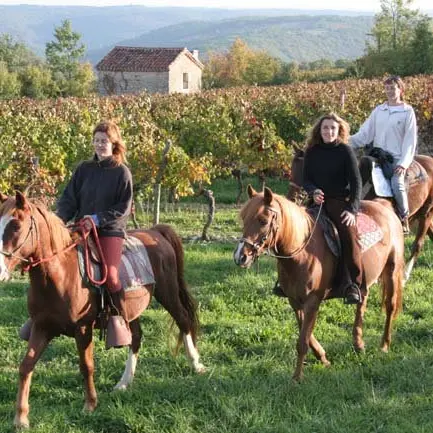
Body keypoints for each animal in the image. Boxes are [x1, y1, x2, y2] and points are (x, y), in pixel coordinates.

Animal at [0, 192, 205, 428]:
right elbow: (26, 366)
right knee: (136, 337)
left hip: (168, 293)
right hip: (130, 311)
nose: (0, 271)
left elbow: (86, 365)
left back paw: (196, 364)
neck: (60, 275)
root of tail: (155, 232)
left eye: (16, 226)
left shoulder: (82, 328)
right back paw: (124, 382)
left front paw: (90, 404)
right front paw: (20, 418)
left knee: (184, 320)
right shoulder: (42, 327)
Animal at [235, 184, 404, 380]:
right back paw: (358, 343)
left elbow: (302, 341)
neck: (302, 252)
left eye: (263, 220)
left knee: (390, 306)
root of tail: (384, 206)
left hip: (392, 270)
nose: (240, 257)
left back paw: (384, 345)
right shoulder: (295, 301)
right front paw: (323, 357)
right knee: (362, 301)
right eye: (244, 218)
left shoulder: (312, 301)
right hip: (365, 280)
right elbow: (306, 334)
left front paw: (296, 378)